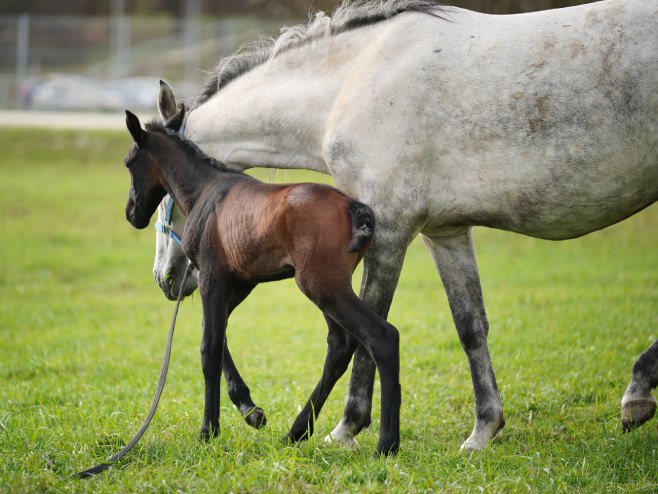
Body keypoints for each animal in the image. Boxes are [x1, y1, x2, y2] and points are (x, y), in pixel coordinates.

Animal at [155, 0, 656, 450]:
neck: (351, 83)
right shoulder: (445, 233)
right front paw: (483, 429)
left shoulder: (390, 231)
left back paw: (636, 395)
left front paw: (347, 428)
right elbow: (470, 326)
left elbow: (367, 335)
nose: (166, 278)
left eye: (165, 192)